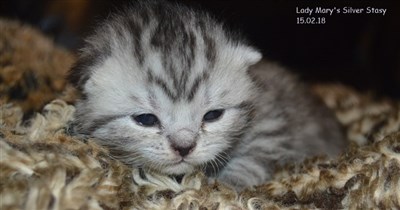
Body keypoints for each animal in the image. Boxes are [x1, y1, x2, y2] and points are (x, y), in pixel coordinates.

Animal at [67, 0, 346, 190]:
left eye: (212, 115)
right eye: (146, 119)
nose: (184, 147)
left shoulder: (271, 124)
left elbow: (255, 156)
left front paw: (227, 184)